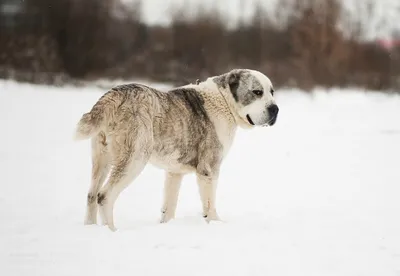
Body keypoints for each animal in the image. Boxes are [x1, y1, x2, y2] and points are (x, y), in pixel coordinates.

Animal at [75, 69, 280, 231]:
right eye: (257, 92)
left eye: (272, 92)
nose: (275, 109)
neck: (224, 101)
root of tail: (113, 95)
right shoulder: (209, 169)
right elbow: (209, 204)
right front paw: (216, 224)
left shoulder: (174, 172)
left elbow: (169, 204)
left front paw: (166, 226)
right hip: (134, 158)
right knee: (104, 196)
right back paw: (111, 231)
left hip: (101, 158)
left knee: (91, 195)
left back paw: (90, 229)